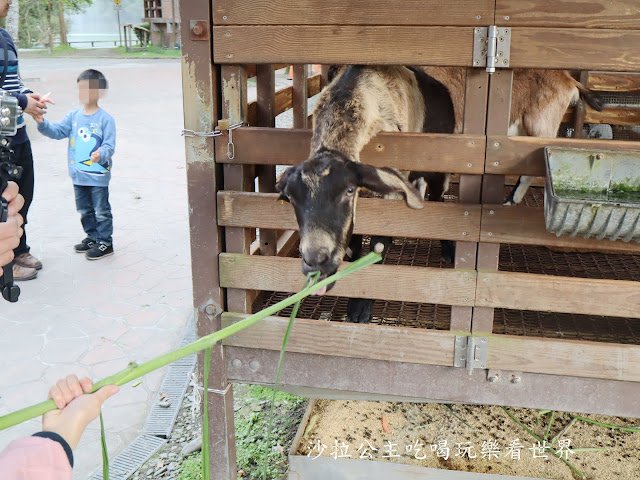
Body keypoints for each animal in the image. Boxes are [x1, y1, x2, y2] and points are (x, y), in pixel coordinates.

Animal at [276, 65, 456, 322]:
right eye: (291, 198)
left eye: (348, 190)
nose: (316, 263)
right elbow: (354, 246)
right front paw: (355, 302)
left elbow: (378, 246)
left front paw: (363, 306)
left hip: (439, 165)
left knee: (439, 197)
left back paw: (449, 249)